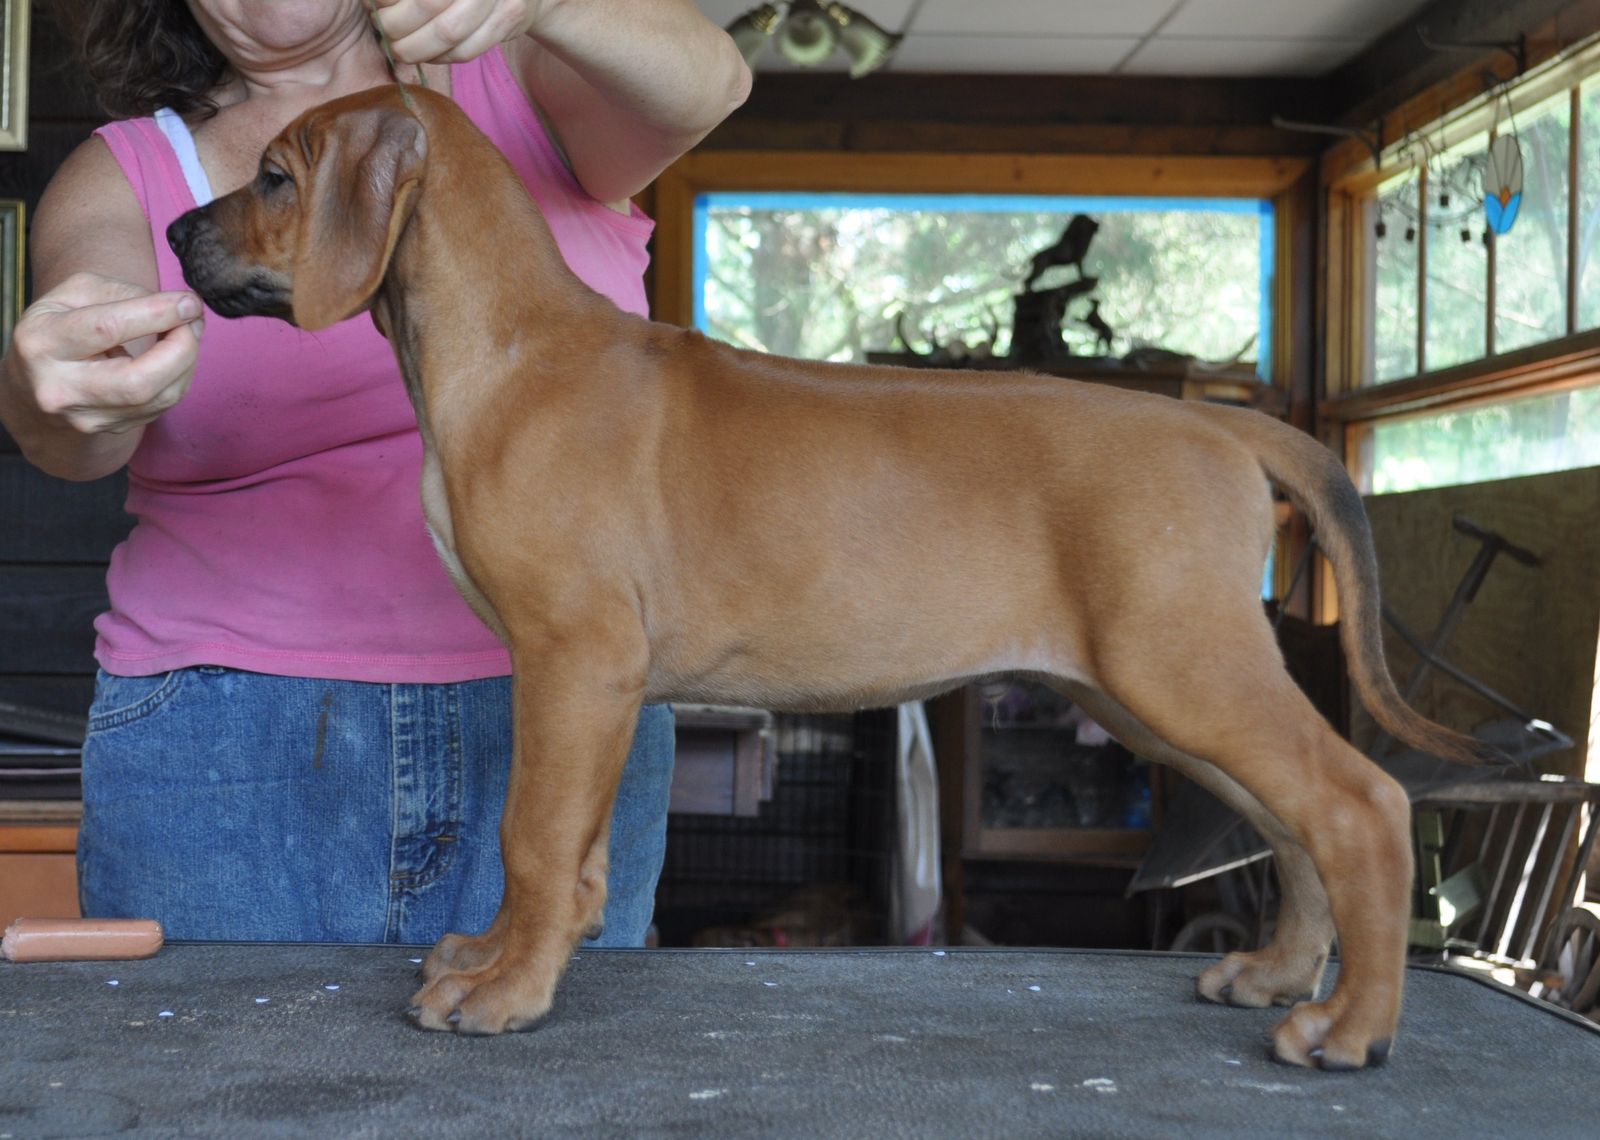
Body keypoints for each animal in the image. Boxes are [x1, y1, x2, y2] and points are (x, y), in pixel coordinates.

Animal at [167, 84, 1503, 1068]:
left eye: (275, 176)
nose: (174, 235)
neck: (506, 349)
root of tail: (1226, 425)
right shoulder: (588, 684)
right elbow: (573, 849)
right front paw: (507, 952)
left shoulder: (573, 656)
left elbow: (532, 830)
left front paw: (506, 992)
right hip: (1149, 691)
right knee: (1288, 819)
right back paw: (1277, 974)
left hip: (1180, 664)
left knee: (1358, 801)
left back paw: (1350, 1026)